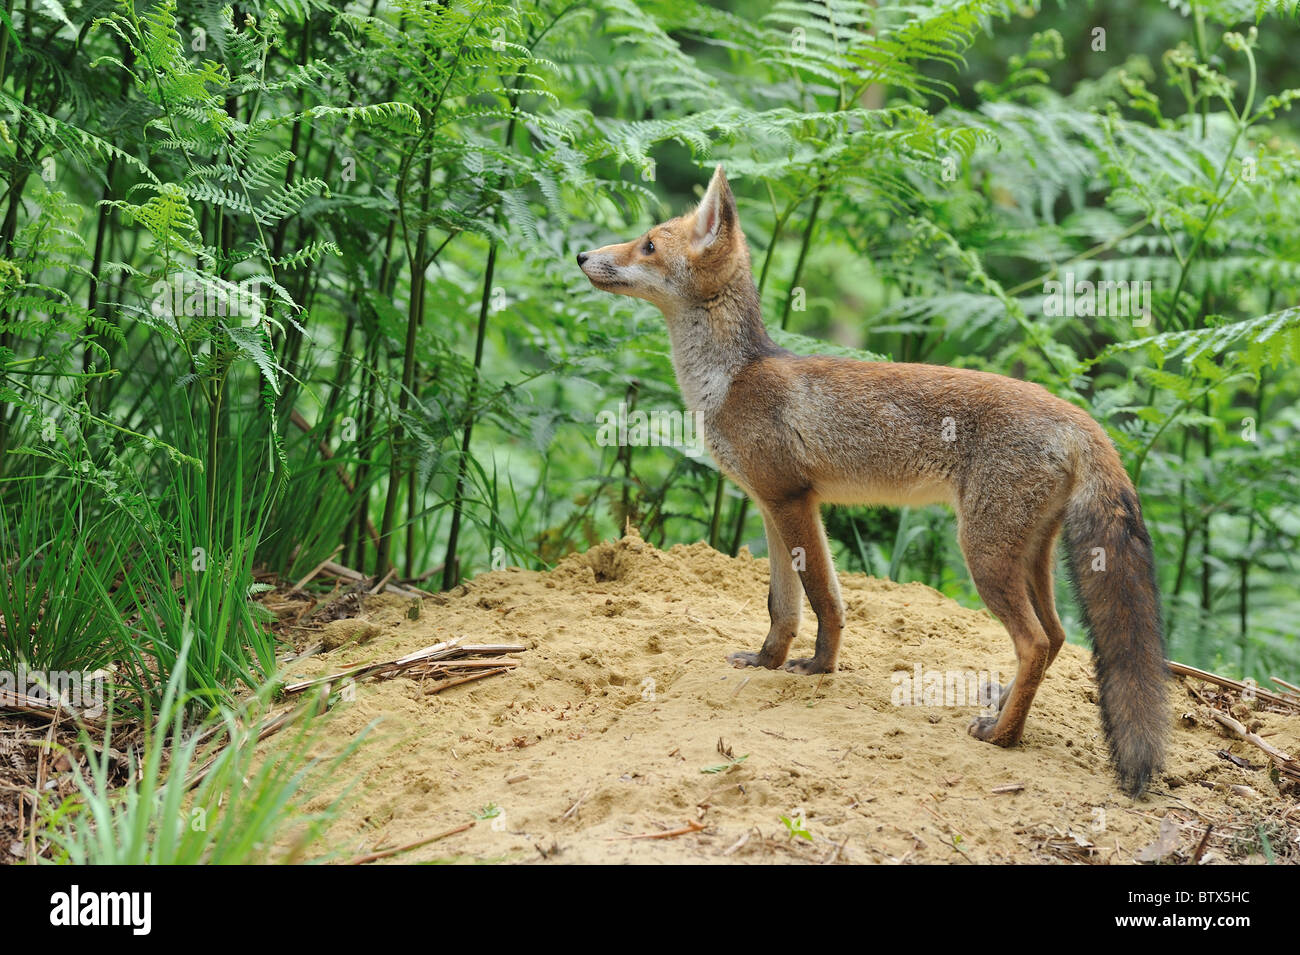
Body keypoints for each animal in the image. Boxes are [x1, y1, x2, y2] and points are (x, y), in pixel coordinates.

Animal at [577, 164, 1169, 796]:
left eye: (647, 245)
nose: (584, 255)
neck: (729, 378)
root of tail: (1076, 416)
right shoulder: (769, 504)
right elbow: (782, 606)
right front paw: (766, 662)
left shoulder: (794, 501)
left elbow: (824, 599)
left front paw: (819, 668)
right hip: (1027, 554)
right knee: (1056, 636)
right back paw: (1003, 705)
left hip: (982, 554)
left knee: (1034, 641)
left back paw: (1003, 737)